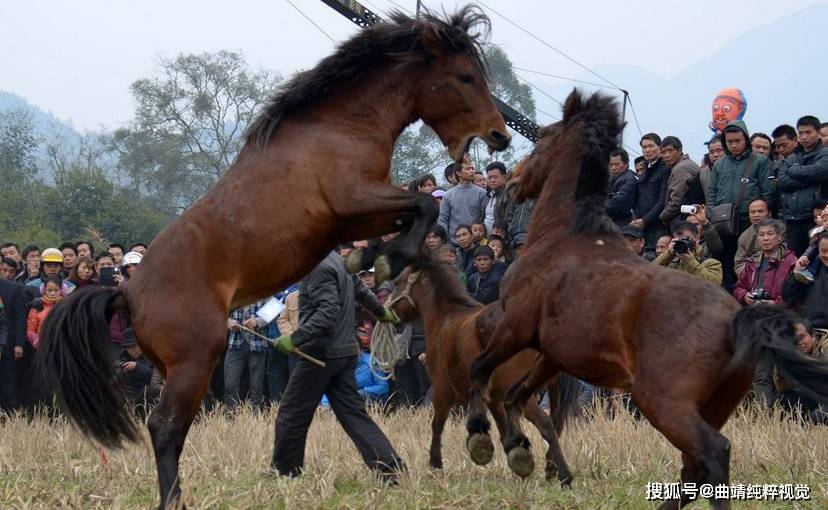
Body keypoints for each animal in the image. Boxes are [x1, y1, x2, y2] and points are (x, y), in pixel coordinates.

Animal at [38, 6, 512, 506]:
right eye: (464, 76)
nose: (499, 135)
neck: (341, 127)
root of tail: (126, 292)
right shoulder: (353, 200)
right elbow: (425, 205)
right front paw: (386, 259)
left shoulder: (355, 218)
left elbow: (417, 213)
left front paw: (373, 260)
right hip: (195, 361)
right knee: (165, 426)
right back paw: (173, 499)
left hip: (178, 368)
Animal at [386, 249, 576, 484]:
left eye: (397, 281)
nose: (387, 309)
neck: (446, 317)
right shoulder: (494, 398)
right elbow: (504, 431)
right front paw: (516, 463)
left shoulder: (441, 389)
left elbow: (437, 424)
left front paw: (435, 464)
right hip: (551, 386)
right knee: (556, 424)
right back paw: (551, 468)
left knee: (546, 423)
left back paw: (564, 475)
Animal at [462, 89, 828, 508]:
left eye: (542, 140)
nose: (512, 184)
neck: (561, 237)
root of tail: (737, 319)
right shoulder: (553, 354)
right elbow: (517, 395)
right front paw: (521, 451)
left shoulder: (516, 326)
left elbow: (479, 369)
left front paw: (483, 439)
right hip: (714, 403)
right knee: (694, 469)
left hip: (662, 401)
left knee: (713, 452)